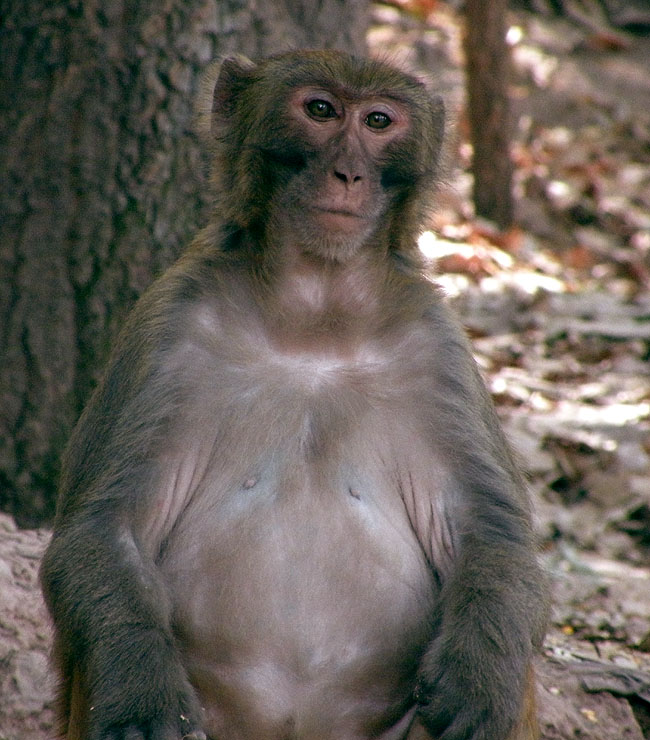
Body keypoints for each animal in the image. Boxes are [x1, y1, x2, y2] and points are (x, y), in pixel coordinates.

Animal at [40, 50, 544, 740]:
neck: (314, 316)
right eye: (321, 110)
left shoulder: (438, 350)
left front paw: (475, 686)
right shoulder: (167, 328)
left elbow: (494, 538)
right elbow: (101, 531)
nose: (349, 172)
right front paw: (143, 703)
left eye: (379, 121)